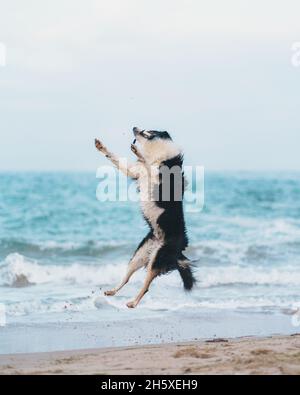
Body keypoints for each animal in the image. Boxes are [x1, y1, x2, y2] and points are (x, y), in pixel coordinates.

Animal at [95, 127, 196, 310]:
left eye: (147, 131)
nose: (134, 127)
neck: (159, 154)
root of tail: (180, 251)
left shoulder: (159, 179)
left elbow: (149, 165)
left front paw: (138, 152)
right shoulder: (135, 171)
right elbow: (117, 158)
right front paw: (101, 146)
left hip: (157, 259)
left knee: (146, 286)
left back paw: (133, 302)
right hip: (139, 255)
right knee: (127, 278)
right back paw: (113, 291)